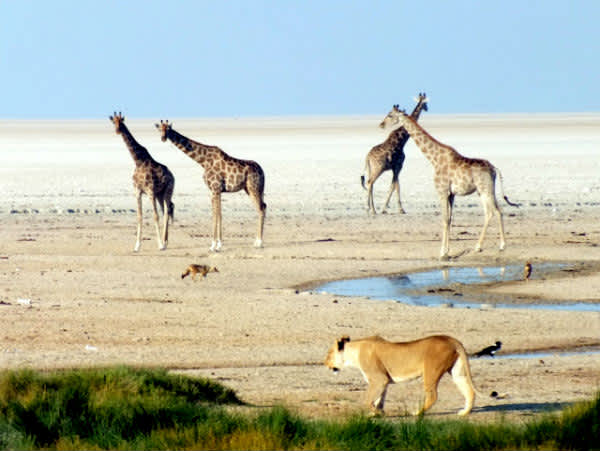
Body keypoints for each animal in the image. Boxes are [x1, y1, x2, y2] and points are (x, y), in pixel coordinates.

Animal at [109, 112, 175, 252]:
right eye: (113, 122)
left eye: (121, 121)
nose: (118, 130)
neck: (138, 161)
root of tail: (172, 175)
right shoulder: (137, 191)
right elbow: (139, 216)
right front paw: (137, 246)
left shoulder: (150, 191)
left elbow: (155, 216)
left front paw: (159, 244)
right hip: (160, 195)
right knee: (166, 211)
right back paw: (165, 242)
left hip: (168, 191)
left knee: (167, 211)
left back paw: (164, 243)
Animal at [156, 120, 266, 252]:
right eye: (160, 129)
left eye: (168, 129)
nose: (163, 138)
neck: (203, 161)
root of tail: (262, 171)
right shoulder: (213, 190)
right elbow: (217, 214)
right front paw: (217, 244)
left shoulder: (216, 188)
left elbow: (216, 215)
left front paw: (214, 245)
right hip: (250, 189)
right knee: (263, 206)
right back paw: (256, 241)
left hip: (253, 188)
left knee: (261, 208)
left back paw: (259, 242)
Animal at [380, 107, 520, 260]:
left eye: (390, 115)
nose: (381, 124)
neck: (434, 159)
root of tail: (494, 169)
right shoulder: (451, 194)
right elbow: (450, 219)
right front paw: (447, 250)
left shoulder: (442, 192)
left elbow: (444, 220)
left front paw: (442, 252)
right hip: (483, 191)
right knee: (491, 212)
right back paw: (480, 246)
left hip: (485, 190)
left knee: (496, 211)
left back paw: (500, 245)